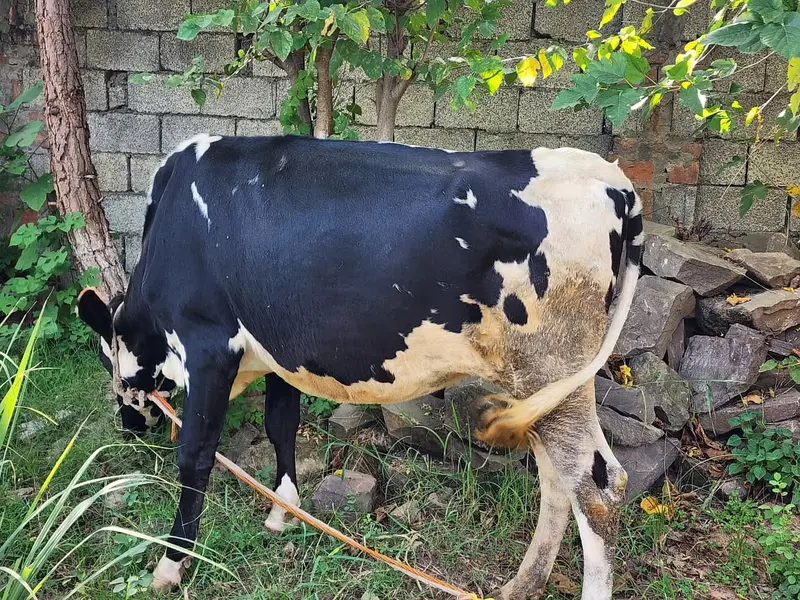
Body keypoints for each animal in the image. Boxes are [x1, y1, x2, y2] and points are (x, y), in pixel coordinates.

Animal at [77, 133, 643, 600]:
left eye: (106, 357)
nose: (127, 424)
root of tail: (612, 180)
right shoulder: (279, 349)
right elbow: (282, 424)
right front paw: (283, 511)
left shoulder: (207, 344)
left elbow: (196, 455)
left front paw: (171, 564)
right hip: (542, 385)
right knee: (556, 478)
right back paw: (521, 585)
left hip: (553, 363)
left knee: (597, 486)